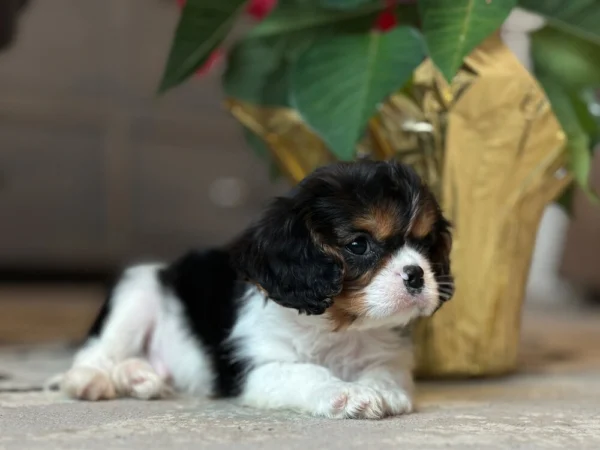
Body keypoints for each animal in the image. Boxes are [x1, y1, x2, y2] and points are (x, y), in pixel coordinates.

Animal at [58, 160, 452, 420]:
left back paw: (140, 378)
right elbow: (306, 373)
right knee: (96, 352)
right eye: (359, 245)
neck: (336, 327)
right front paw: (348, 392)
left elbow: (386, 372)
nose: (417, 275)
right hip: (139, 288)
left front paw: (383, 391)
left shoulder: (389, 356)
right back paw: (89, 381)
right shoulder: (259, 368)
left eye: (425, 243)